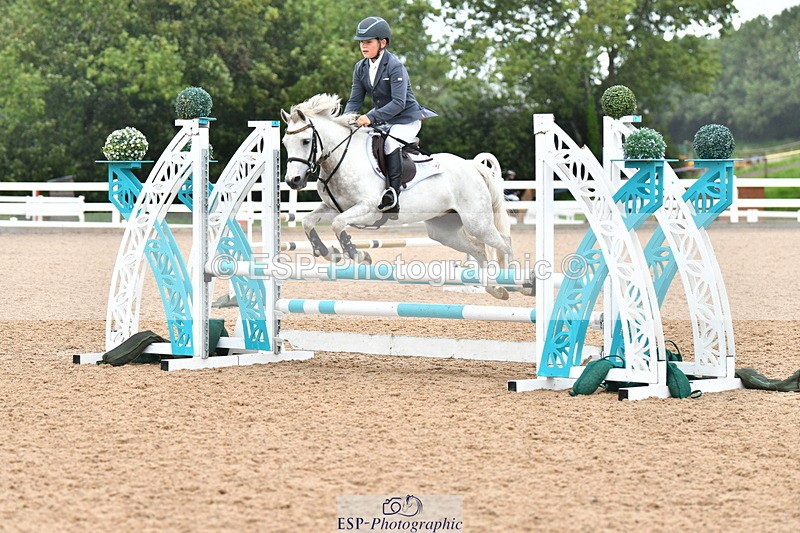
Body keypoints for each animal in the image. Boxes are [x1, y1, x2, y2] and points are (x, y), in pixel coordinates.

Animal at [280, 93, 514, 299]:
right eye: (284, 143)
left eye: (305, 141)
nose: (293, 181)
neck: (342, 159)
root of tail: (471, 165)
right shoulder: (334, 207)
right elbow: (308, 221)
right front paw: (328, 252)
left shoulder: (368, 210)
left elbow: (338, 224)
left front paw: (359, 255)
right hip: (443, 230)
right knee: (478, 249)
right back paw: (495, 289)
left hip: (477, 223)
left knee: (504, 242)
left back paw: (514, 282)